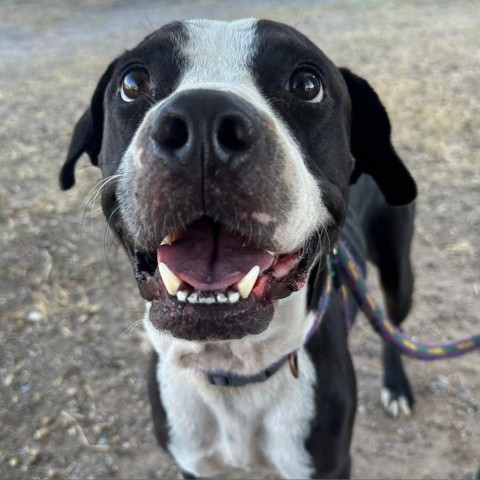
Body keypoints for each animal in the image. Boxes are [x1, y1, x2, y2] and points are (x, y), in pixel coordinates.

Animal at [60, 17, 418, 476]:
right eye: (133, 81)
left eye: (307, 84)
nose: (203, 118)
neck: (233, 369)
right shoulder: (194, 463)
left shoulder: (329, 466)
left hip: (397, 272)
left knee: (393, 326)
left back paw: (396, 386)